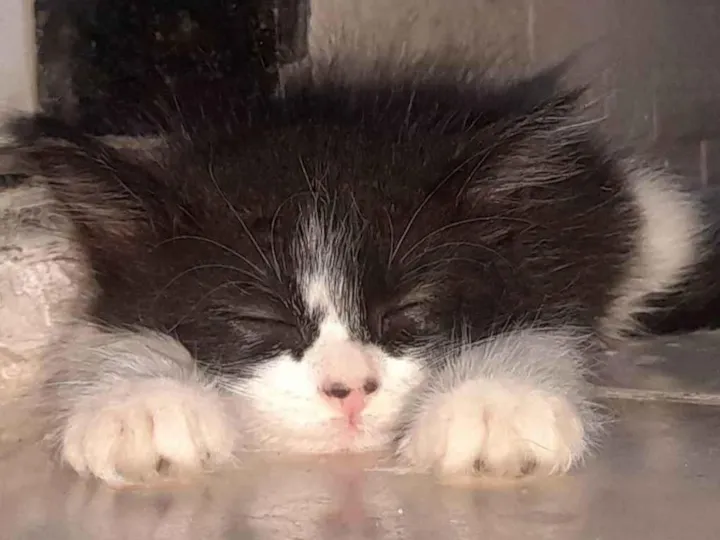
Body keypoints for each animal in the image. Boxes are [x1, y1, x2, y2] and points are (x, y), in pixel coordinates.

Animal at [0, 65, 714, 488]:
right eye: (256, 318)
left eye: (410, 310)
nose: (350, 391)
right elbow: (103, 328)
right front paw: (142, 401)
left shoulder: (550, 245)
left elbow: (547, 310)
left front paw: (495, 400)